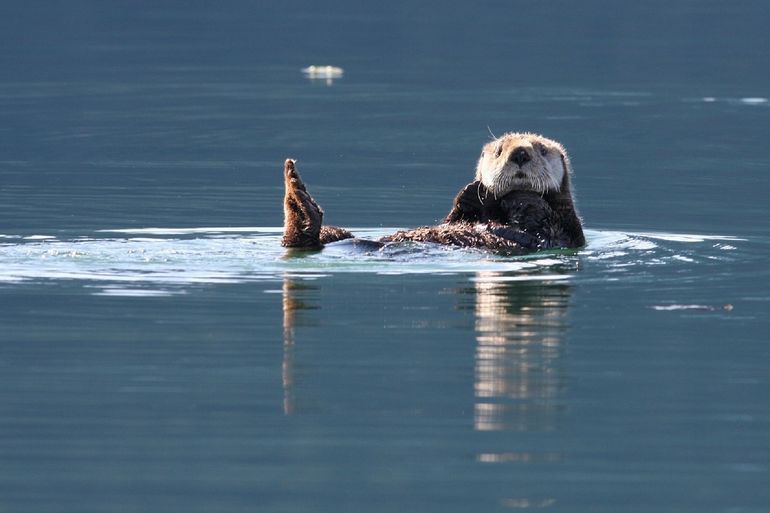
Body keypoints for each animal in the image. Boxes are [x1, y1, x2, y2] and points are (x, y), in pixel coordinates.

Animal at [282, 131, 584, 253]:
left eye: (541, 150)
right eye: (499, 151)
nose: (520, 153)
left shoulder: (565, 230)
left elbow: (543, 220)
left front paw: (521, 198)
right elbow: (456, 216)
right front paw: (473, 191)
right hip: (337, 234)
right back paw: (295, 188)